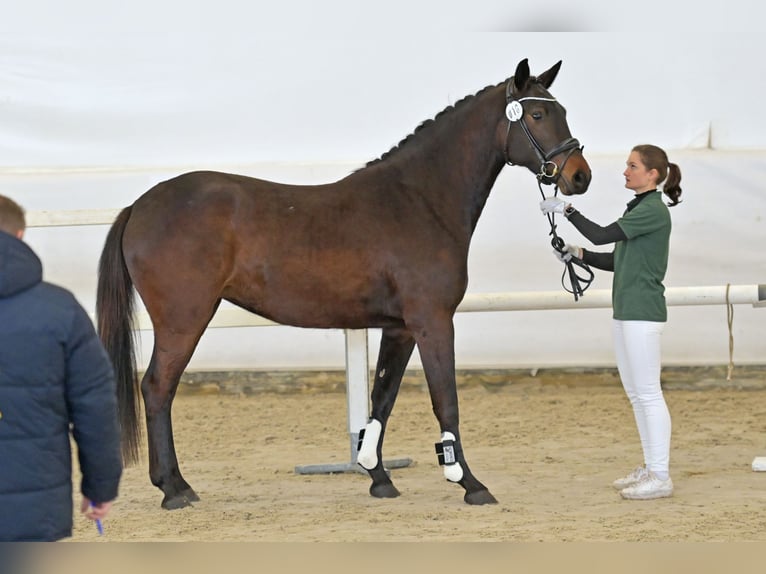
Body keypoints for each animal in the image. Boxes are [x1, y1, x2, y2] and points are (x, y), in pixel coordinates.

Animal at [96, 58, 591, 510]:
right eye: (537, 115)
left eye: (563, 110)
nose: (579, 175)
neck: (419, 200)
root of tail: (139, 206)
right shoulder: (433, 322)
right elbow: (445, 401)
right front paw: (470, 483)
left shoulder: (400, 328)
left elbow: (382, 399)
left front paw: (378, 476)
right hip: (184, 319)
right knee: (157, 388)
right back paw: (174, 489)